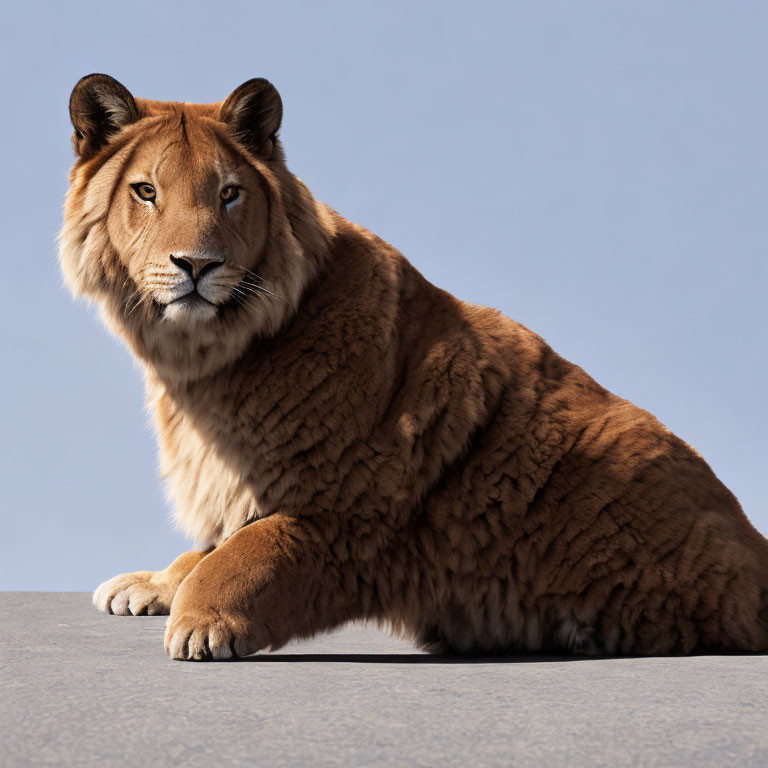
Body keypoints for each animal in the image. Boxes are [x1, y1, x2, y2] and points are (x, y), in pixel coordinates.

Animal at [60, 73, 768, 660]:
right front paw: (150, 584)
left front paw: (199, 624)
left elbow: (249, 552)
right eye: (146, 192)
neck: (205, 361)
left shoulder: (347, 514)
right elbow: (209, 548)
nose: (197, 265)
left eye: (229, 194)